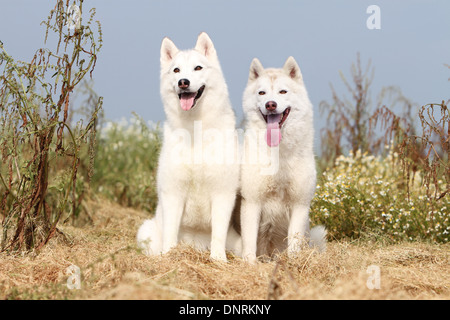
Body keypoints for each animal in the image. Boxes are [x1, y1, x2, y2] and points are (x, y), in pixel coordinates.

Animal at [137, 33, 243, 262]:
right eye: (176, 70)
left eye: (198, 68)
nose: (183, 82)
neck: (195, 129)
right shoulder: (173, 193)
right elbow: (170, 232)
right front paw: (169, 255)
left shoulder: (222, 192)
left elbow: (218, 233)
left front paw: (218, 259)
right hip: (146, 231)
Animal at [239, 57, 326, 262]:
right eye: (261, 93)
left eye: (283, 91)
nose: (270, 104)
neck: (279, 154)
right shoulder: (252, 201)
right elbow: (249, 241)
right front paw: (249, 264)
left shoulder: (300, 204)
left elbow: (294, 241)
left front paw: (294, 263)